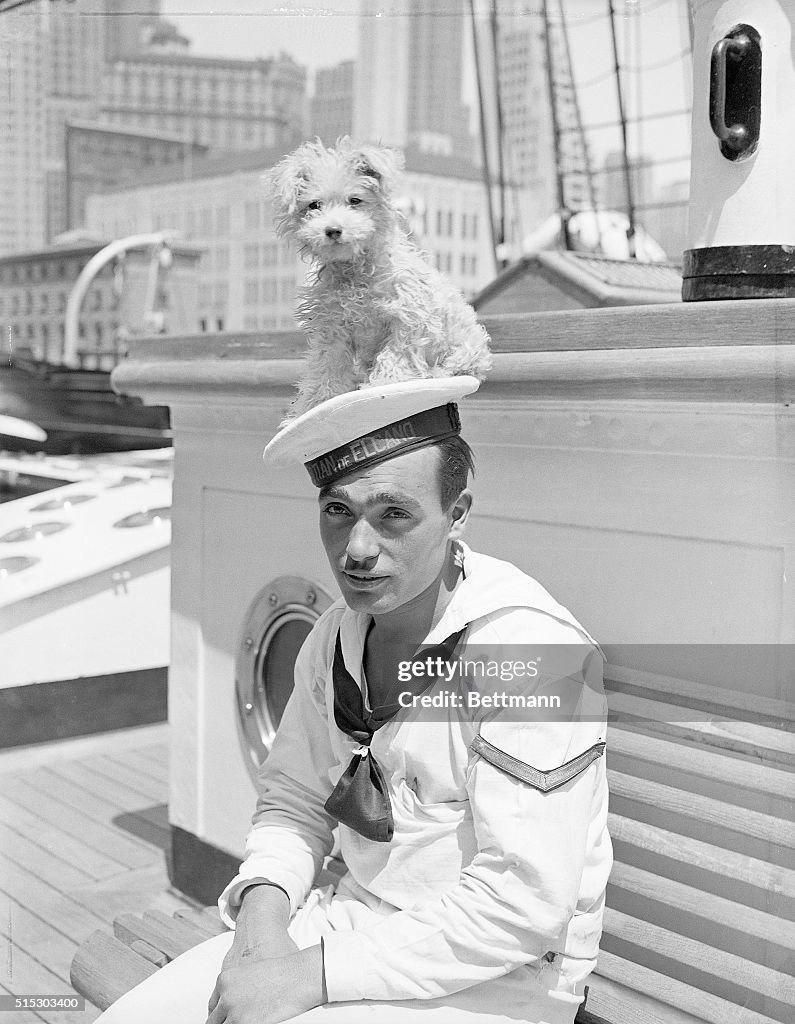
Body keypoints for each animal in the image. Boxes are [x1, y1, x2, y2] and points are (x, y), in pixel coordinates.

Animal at [266, 138, 489, 417]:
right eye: (314, 205)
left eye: (355, 200)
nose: (332, 230)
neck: (356, 273)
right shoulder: (332, 330)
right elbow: (326, 370)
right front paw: (311, 406)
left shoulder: (407, 320)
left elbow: (394, 357)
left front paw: (381, 386)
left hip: (465, 350)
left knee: (456, 368)